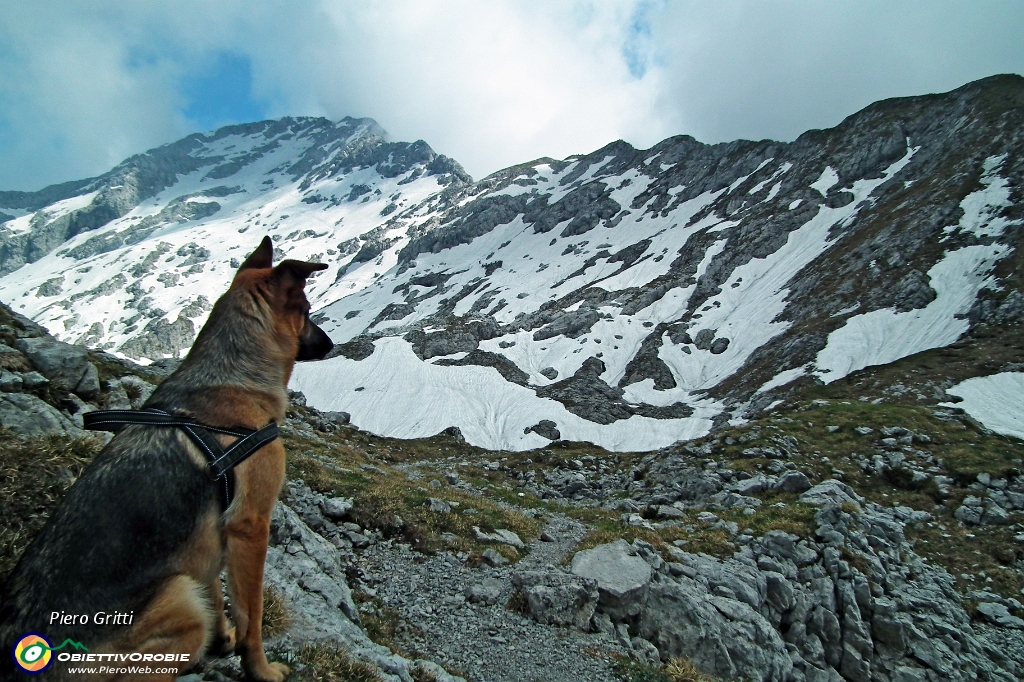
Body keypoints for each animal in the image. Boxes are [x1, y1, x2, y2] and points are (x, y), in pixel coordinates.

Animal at [0, 236, 329, 675]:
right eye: (306, 311)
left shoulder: (208, 540)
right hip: (177, 600)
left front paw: (224, 640)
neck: (232, 376)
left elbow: (216, 590)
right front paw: (261, 670)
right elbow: (251, 615)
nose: (330, 344)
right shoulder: (250, 525)